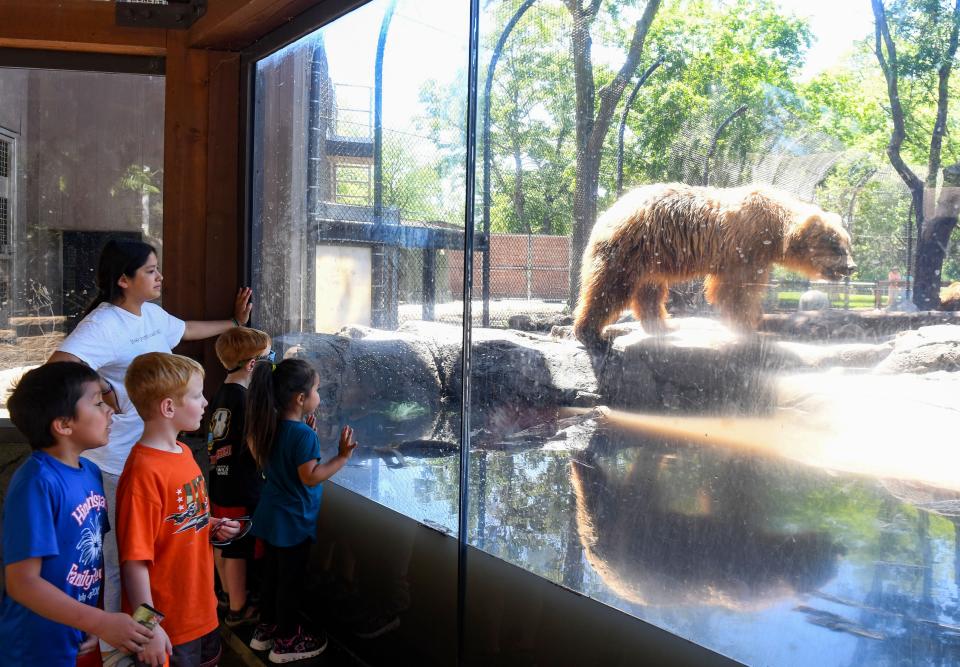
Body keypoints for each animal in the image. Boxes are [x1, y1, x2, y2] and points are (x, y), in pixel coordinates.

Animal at [572, 185, 860, 348]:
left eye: (848, 244)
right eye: (837, 247)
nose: (851, 267)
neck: (775, 230)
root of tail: (608, 212)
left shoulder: (756, 254)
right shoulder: (744, 247)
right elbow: (735, 290)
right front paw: (749, 328)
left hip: (652, 258)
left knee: (650, 292)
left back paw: (665, 326)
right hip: (630, 248)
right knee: (609, 288)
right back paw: (591, 333)